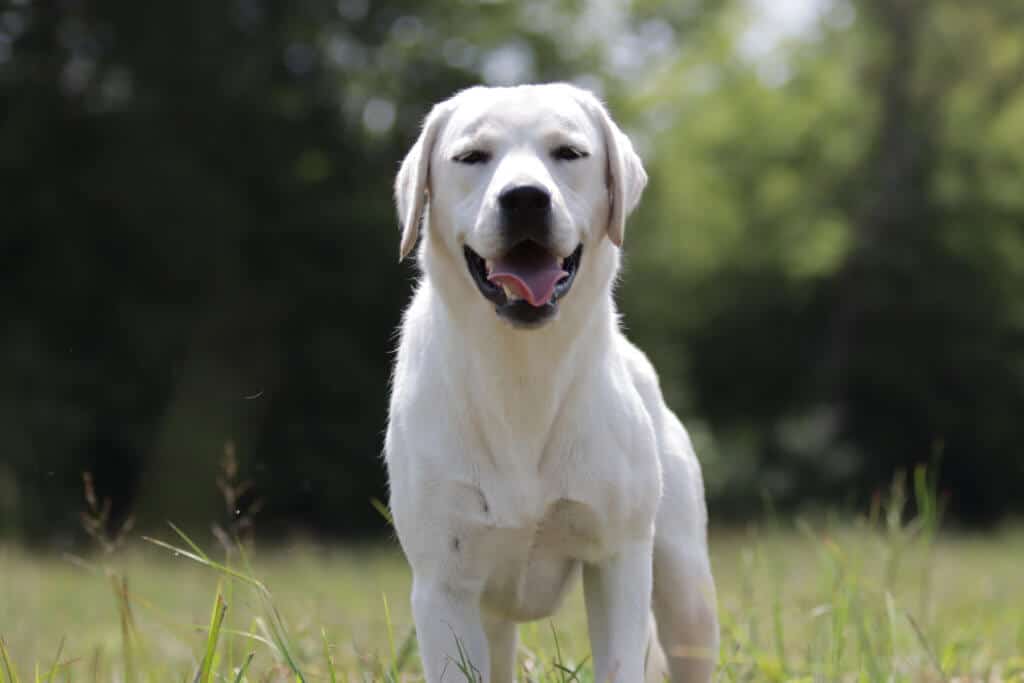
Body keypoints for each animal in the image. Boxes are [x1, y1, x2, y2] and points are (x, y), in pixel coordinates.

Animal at [385, 82, 720, 679]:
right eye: (472, 156)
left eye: (569, 153)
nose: (523, 198)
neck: (523, 372)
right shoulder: (444, 583)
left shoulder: (616, 558)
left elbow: (620, 664)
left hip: (686, 591)